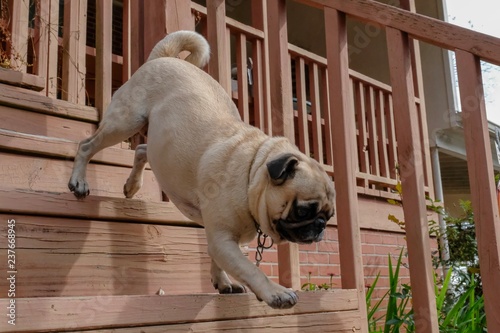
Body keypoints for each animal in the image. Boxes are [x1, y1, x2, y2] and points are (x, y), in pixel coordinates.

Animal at [68, 30, 334, 308]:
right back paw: (79, 182)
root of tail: (164, 58)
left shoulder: (216, 237)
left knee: (141, 149)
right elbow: (250, 269)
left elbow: (215, 258)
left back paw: (132, 185)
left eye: (329, 215)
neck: (251, 172)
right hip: (125, 121)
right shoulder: (222, 238)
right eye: (303, 210)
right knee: (87, 145)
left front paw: (223, 282)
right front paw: (275, 291)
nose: (320, 226)